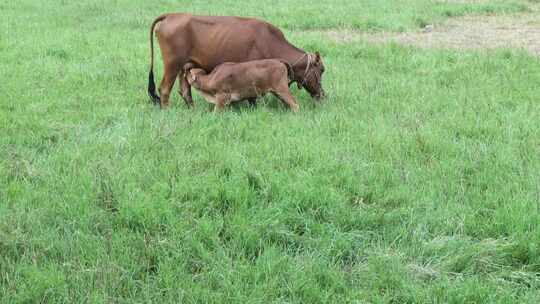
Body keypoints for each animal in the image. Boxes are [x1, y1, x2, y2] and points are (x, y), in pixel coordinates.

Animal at [147, 13, 324, 108]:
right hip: (172, 64)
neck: (270, 41)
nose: (322, 95)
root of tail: (172, 15)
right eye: (322, 70)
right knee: (164, 89)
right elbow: (252, 96)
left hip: (185, 66)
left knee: (185, 90)